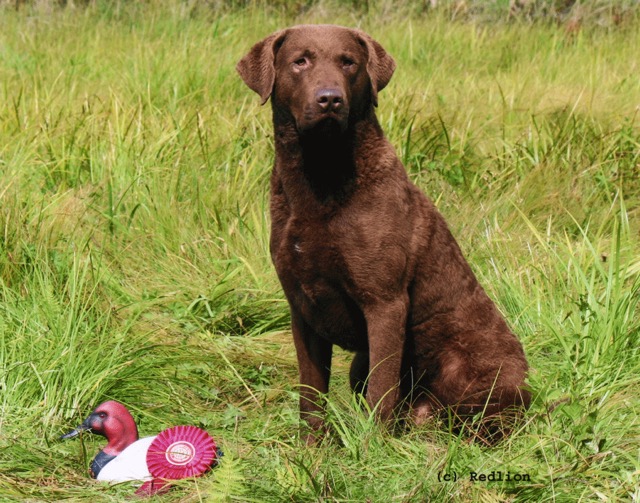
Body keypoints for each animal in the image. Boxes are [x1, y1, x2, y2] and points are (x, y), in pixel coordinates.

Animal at [235, 24, 528, 440]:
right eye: (300, 61)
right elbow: (311, 395)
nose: (330, 100)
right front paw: (310, 448)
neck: (321, 176)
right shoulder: (302, 308)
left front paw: (371, 448)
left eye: (348, 62)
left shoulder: (385, 303)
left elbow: (381, 391)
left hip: (469, 366)